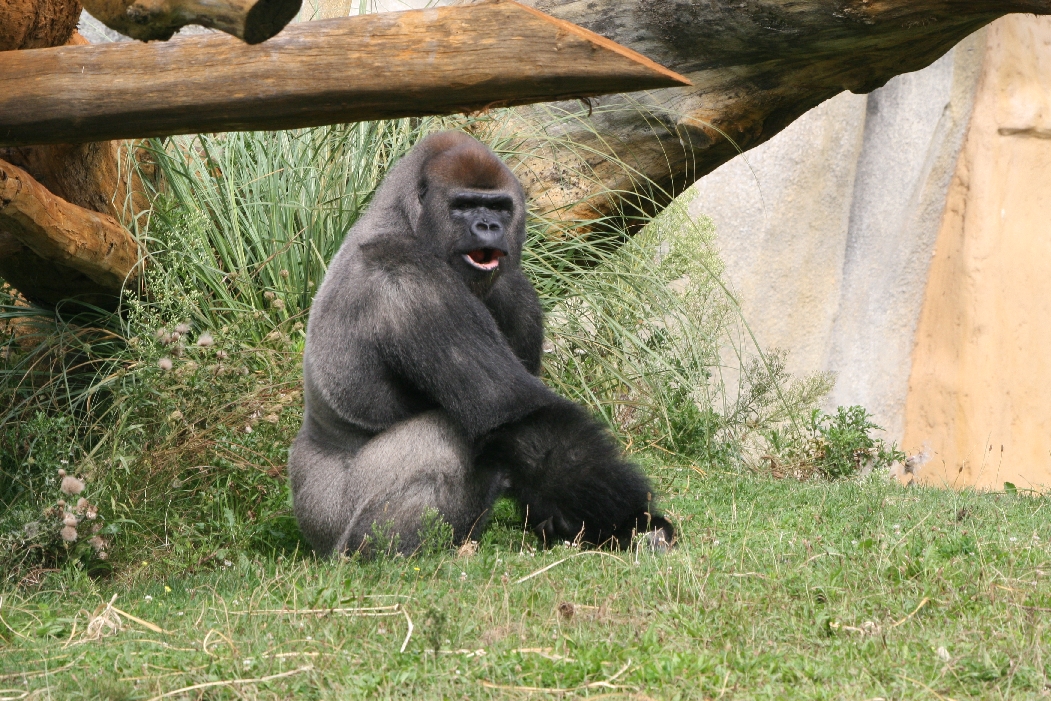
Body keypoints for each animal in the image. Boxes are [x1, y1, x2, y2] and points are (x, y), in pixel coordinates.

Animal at [288, 131, 673, 557]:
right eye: (464, 206)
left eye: (499, 207)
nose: (487, 225)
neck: (407, 221)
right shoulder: (409, 278)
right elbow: (518, 418)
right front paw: (636, 524)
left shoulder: (512, 287)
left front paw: (562, 522)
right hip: (334, 523)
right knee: (446, 438)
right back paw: (397, 550)